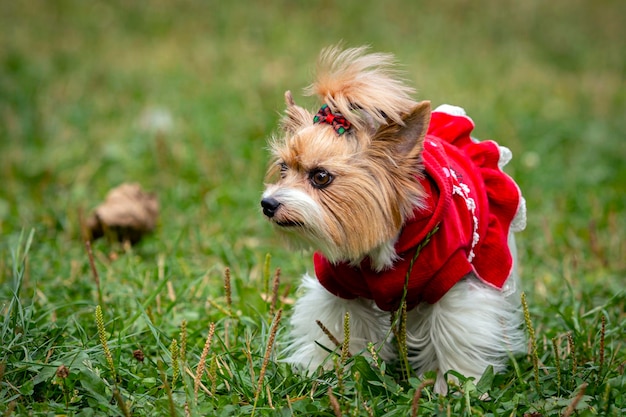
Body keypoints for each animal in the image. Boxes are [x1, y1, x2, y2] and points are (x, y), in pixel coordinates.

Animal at [260, 46, 528, 394]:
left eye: (321, 177)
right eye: (283, 169)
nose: (268, 204)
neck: (382, 245)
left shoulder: (454, 281)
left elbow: (454, 333)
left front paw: (454, 387)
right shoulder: (339, 287)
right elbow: (334, 329)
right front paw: (324, 372)